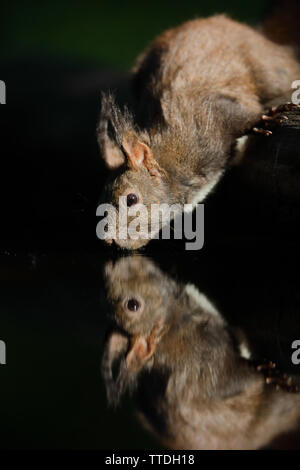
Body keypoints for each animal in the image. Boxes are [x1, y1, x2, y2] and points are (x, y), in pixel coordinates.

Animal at [98, 1, 300, 250]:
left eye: (131, 199)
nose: (108, 240)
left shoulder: (210, 116)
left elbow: (239, 115)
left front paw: (266, 117)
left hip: (268, 66)